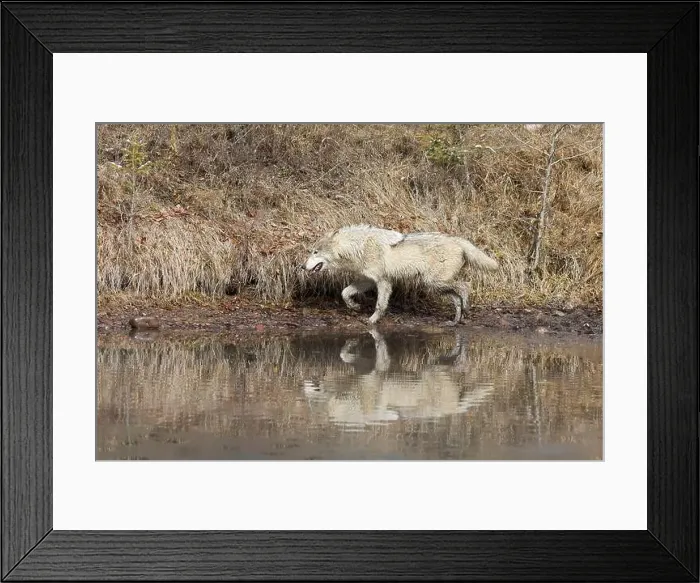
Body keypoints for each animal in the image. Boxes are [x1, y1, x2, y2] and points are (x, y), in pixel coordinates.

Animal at [301, 224, 498, 325]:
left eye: (315, 252)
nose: (302, 266)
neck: (358, 247)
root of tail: (457, 240)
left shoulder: (383, 282)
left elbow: (380, 305)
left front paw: (372, 320)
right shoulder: (367, 281)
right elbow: (345, 293)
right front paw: (354, 306)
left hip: (434, 282)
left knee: (465, 286)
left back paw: (466, 309)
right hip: (434, 285)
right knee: (457, 298)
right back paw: (455, 321)